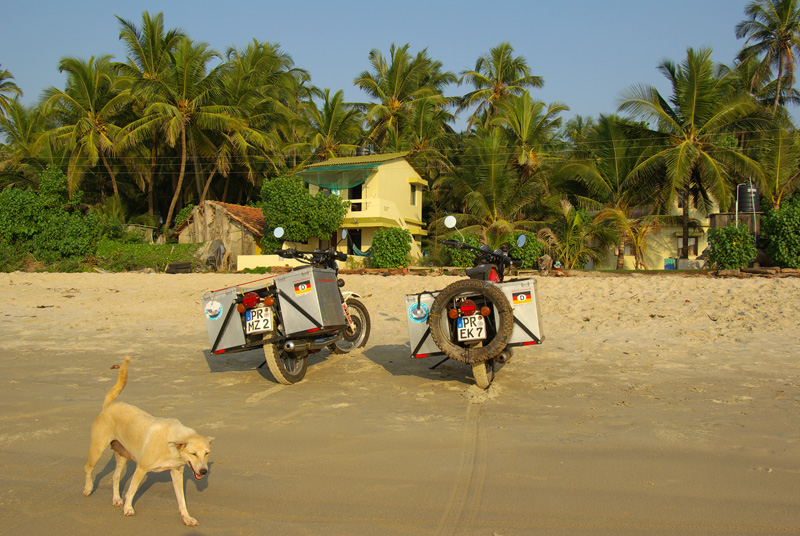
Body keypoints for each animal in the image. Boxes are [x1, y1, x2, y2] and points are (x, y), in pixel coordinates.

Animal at [82, 358, 212, 524]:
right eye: (193, 453)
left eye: (207, 453)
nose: (203, 471)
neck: (172, 446)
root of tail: (109, 406)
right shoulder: (141, 468)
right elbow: (131, 491)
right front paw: (128, 509)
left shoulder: (176, 473)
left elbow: (181, 500)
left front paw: (187, 518)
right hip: (97, 449)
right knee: (88, 468)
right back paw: (88, 489)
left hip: (122, 455)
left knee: (115, 477)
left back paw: (116, 499)